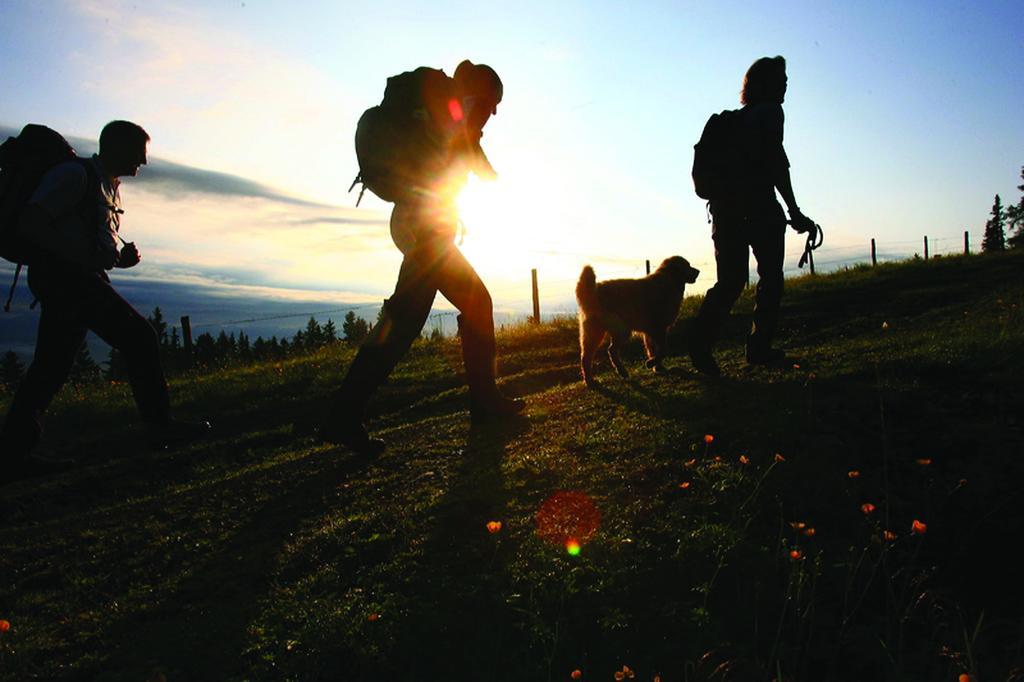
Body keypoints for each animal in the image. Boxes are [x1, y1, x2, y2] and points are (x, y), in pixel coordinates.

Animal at [577, 254, 696, 385]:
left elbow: (653, 349)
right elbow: (662, 350)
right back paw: (618, 372)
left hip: (595, 333)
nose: (698, 271)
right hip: (620, 330)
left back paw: (591, 380)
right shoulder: (658, 329)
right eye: (687, 265)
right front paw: (651, 363)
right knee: (610, 350)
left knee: (586, 356)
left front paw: (657, 367)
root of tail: (593, 291)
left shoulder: (649, 332)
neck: (668, 281)